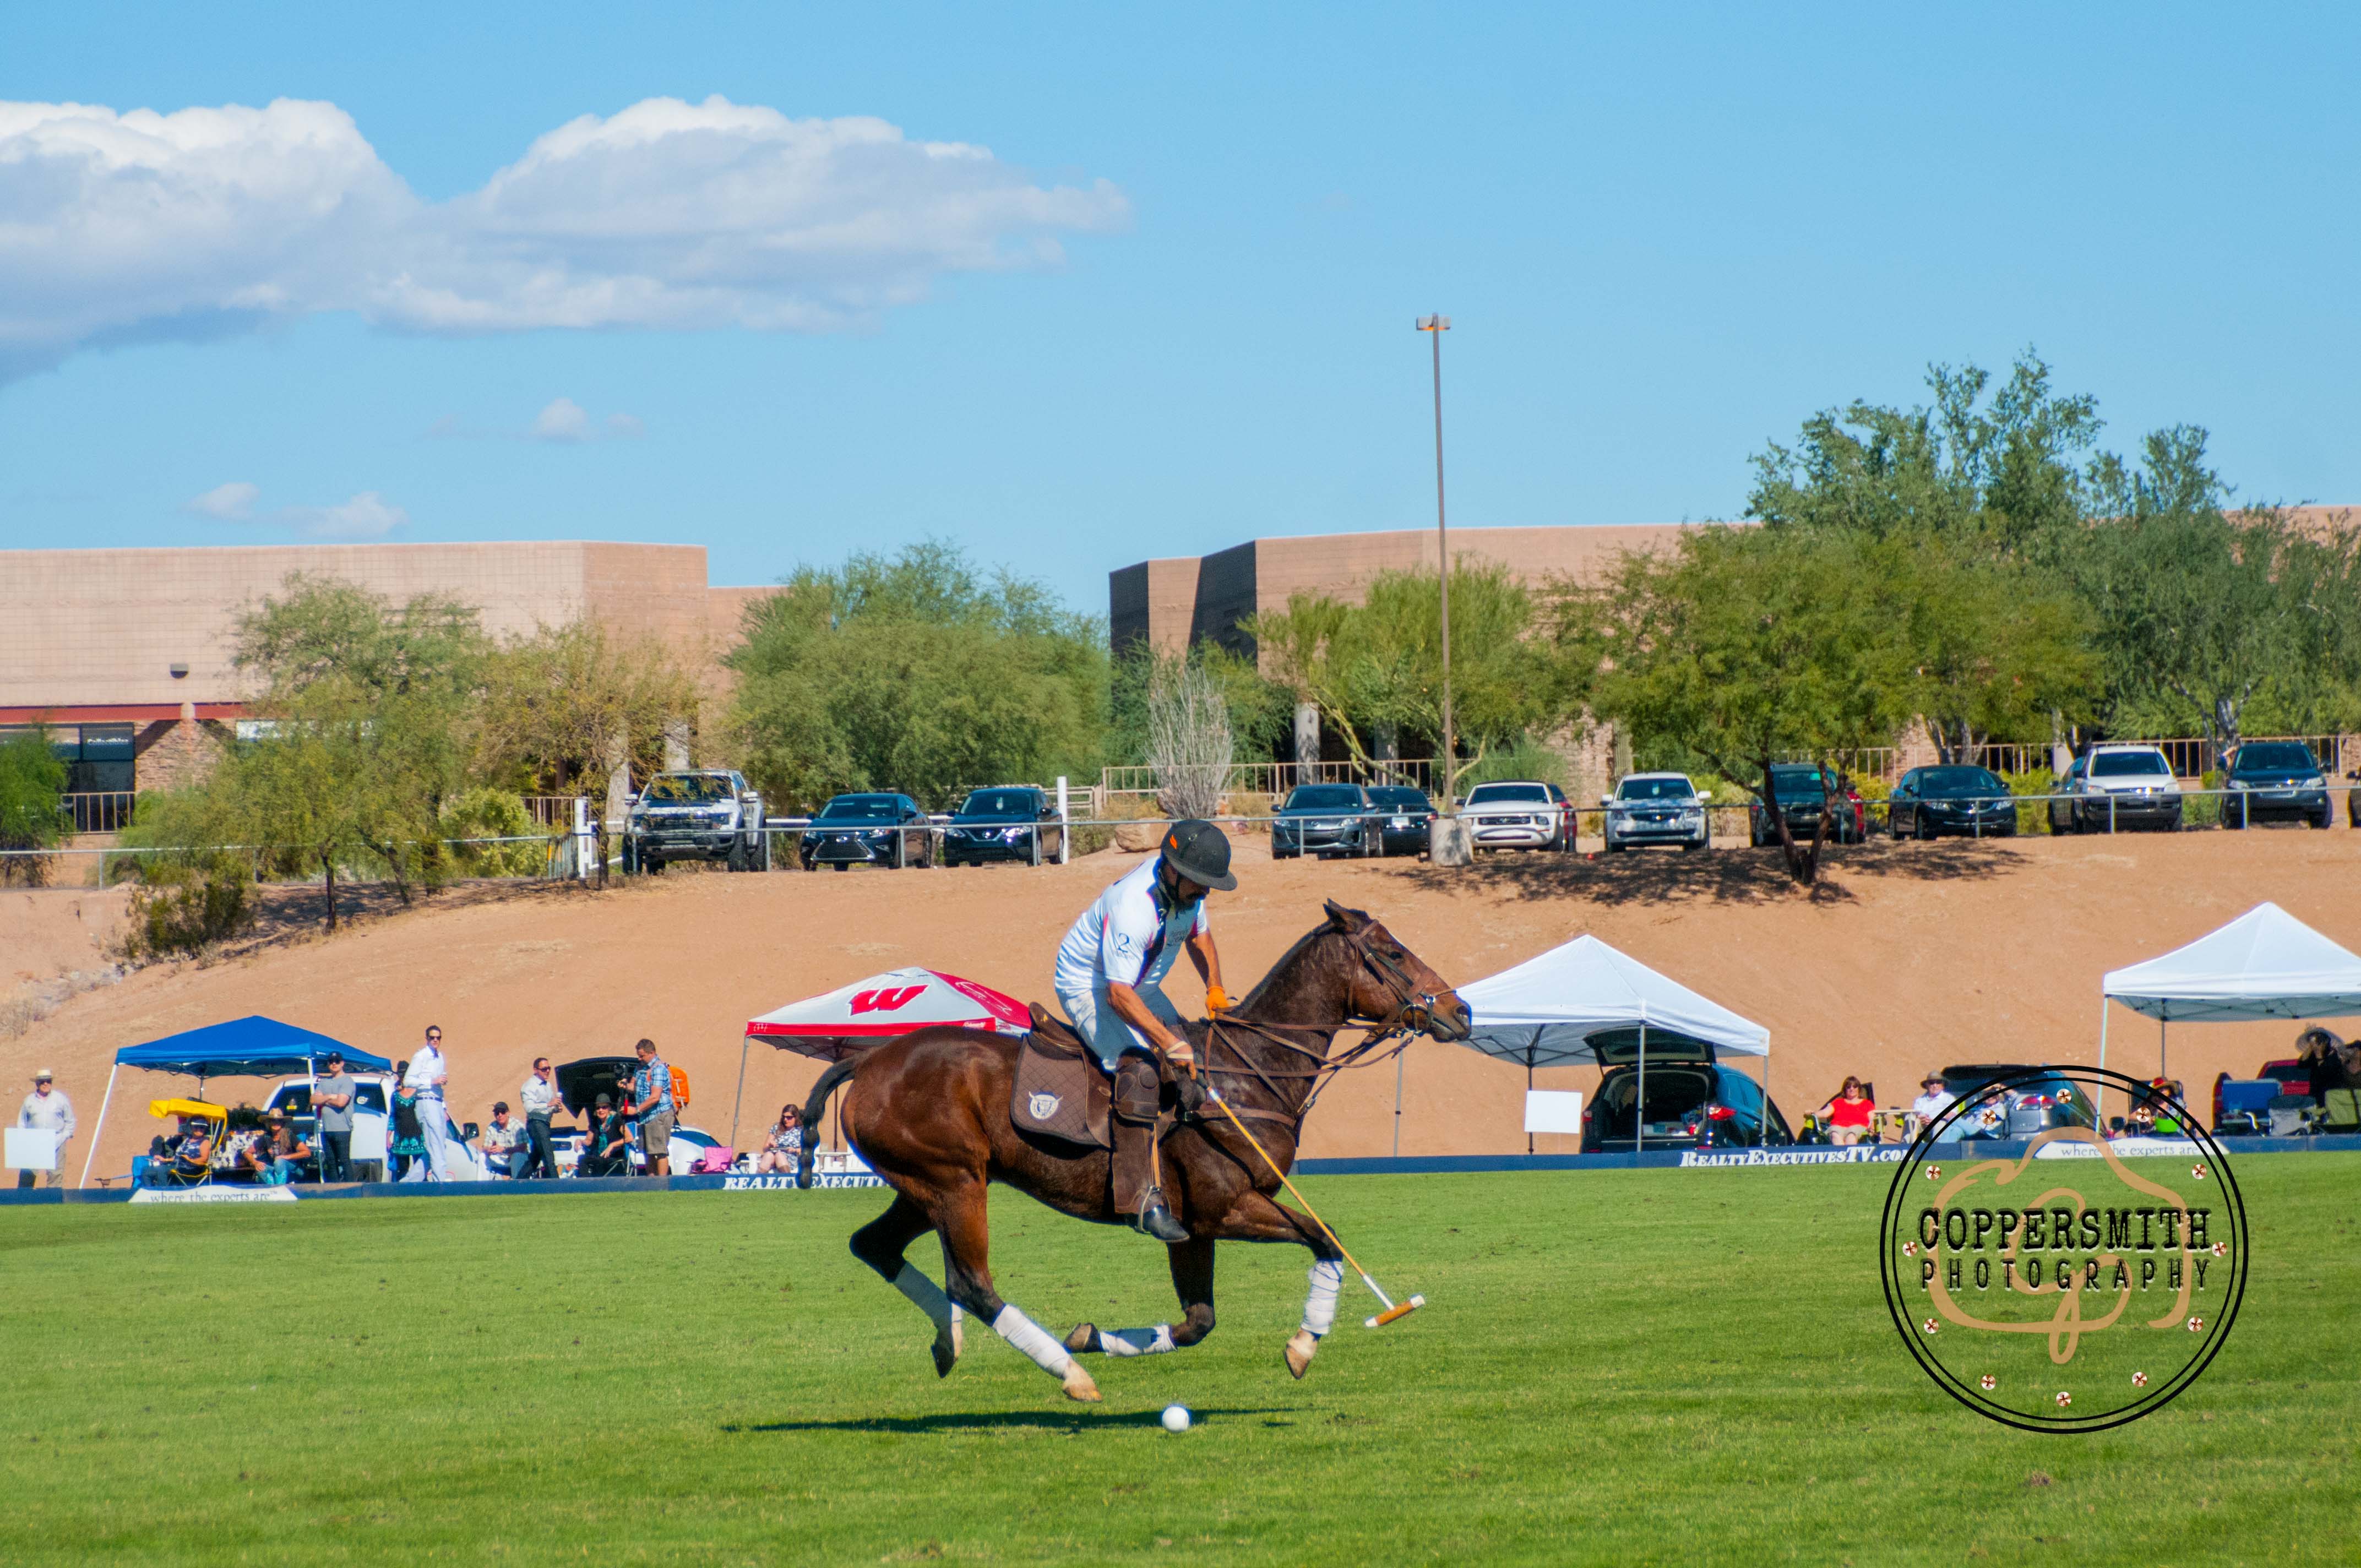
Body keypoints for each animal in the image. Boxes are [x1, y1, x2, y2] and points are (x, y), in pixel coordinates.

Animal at [802, 902, 1464, 1398]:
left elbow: (1199, 1321)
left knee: (876, 1246)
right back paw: (1070, 1376)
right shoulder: (1228, 1206)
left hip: (925, 1185)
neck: (1249, 1072)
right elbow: (1323, 1235)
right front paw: (1303, 1346)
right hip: (954, 1182)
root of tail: (868, 1060)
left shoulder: (1194, 1226)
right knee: (970, 1283)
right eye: (1394, 953)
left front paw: (1091, 1335)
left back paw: (951, 1341)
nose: (1460, 1011)